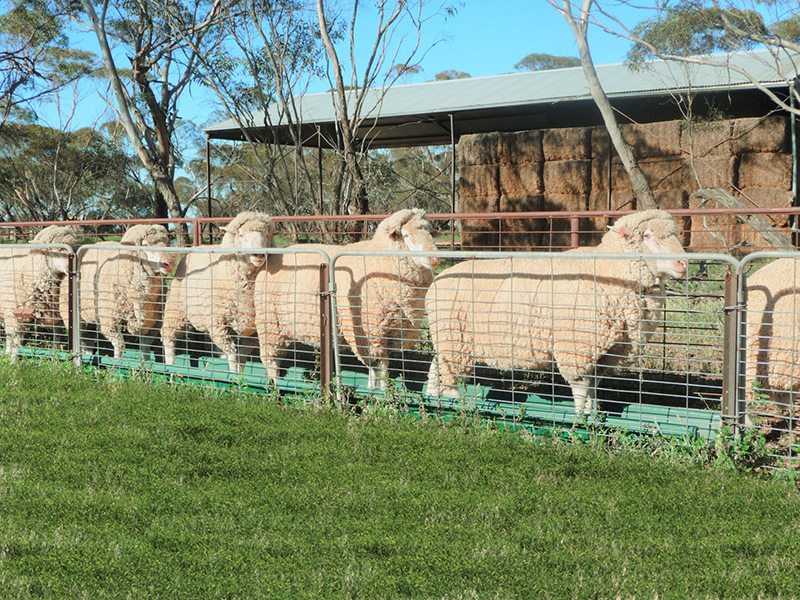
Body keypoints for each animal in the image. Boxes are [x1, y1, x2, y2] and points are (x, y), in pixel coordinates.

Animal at [0, 225, 76, 359]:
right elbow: (15, 339)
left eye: (72, 246)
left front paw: (55, 355)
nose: (70, 267)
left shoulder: (56, 316)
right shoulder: (14, 313)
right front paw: (13, 360)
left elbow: (57, 336)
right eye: (50, 248)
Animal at [62, 224, 176, 359]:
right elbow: (119, 344)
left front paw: (147, 362)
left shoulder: (153, 321)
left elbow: (145, 346)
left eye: (165, 243)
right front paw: (118, 361)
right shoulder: (108, 317)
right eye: (145, 244)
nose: (169, 264)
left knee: (88, 340)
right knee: (81, 337)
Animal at [161, 211, 275, 373]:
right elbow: (233, 356)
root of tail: (197, 246)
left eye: (266, 235)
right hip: (176, 305)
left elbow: (242, 357)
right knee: (168, 335)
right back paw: (170, 366)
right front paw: (234, 375)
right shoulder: (218, 323)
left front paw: (241, 374)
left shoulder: (253, 330)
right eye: (241, 235)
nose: (258, 255)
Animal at [255, 208, 440, 390]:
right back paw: (276, 387)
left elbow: (384, 371)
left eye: (430, 233)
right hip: (269, 324)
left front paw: (382, 391)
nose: (435, 258)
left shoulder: (393, 333)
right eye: (406, 235)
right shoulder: (368, 333)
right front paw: (374, 393)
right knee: (271, 361)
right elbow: (377, 368)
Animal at [424, 210, 688, 416]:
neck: (607, 273)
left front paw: (592, 414)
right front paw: (579, 420)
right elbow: (581, 390)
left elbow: (593, 388)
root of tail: (438, 280)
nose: (684, 264)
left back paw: (431, 397)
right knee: (449, 376)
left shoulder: (605, 353)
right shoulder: (577, 347)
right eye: (647, 235)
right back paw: (453, 404)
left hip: (449, 339)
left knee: (437, 366)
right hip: (453, 339)